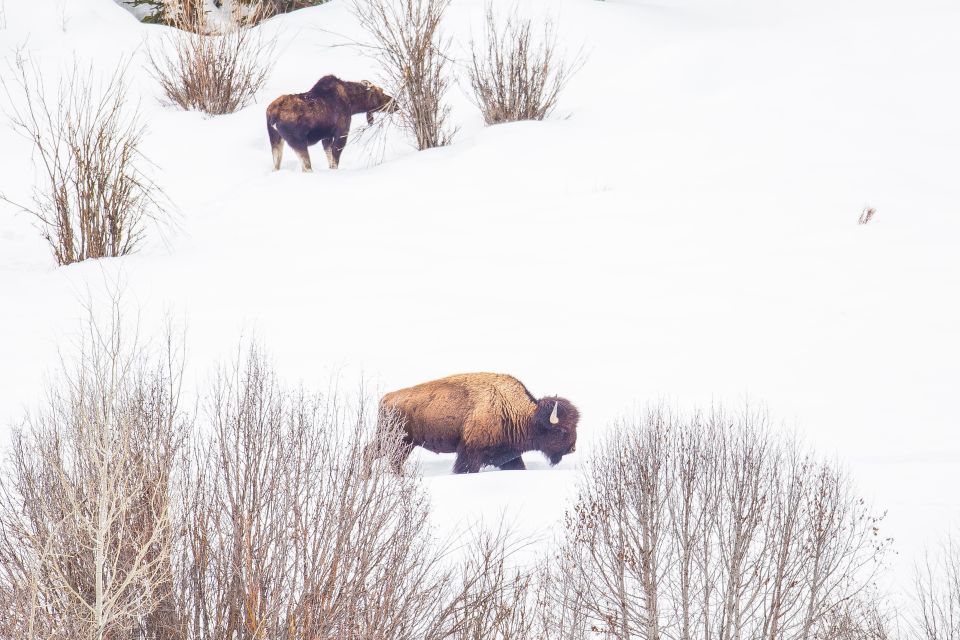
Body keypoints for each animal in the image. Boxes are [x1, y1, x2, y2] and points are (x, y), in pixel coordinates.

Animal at [264, 75, 396, 172]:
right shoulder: (342, 132)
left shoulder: (326, 137)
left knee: (276, 166)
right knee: (306, 168)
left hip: (275, 138)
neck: (353, 104)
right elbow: (335, 161)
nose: (395, 103)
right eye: (380, 91)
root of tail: (272, 114)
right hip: (298, 141)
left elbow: (330, 159)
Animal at [366, 372, 576, 472]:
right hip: (396, 442)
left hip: (403, 444)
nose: (572, 449)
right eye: (561, 430)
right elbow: (465, 468)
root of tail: (387, 398)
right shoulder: (470, 453)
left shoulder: (508, 456)